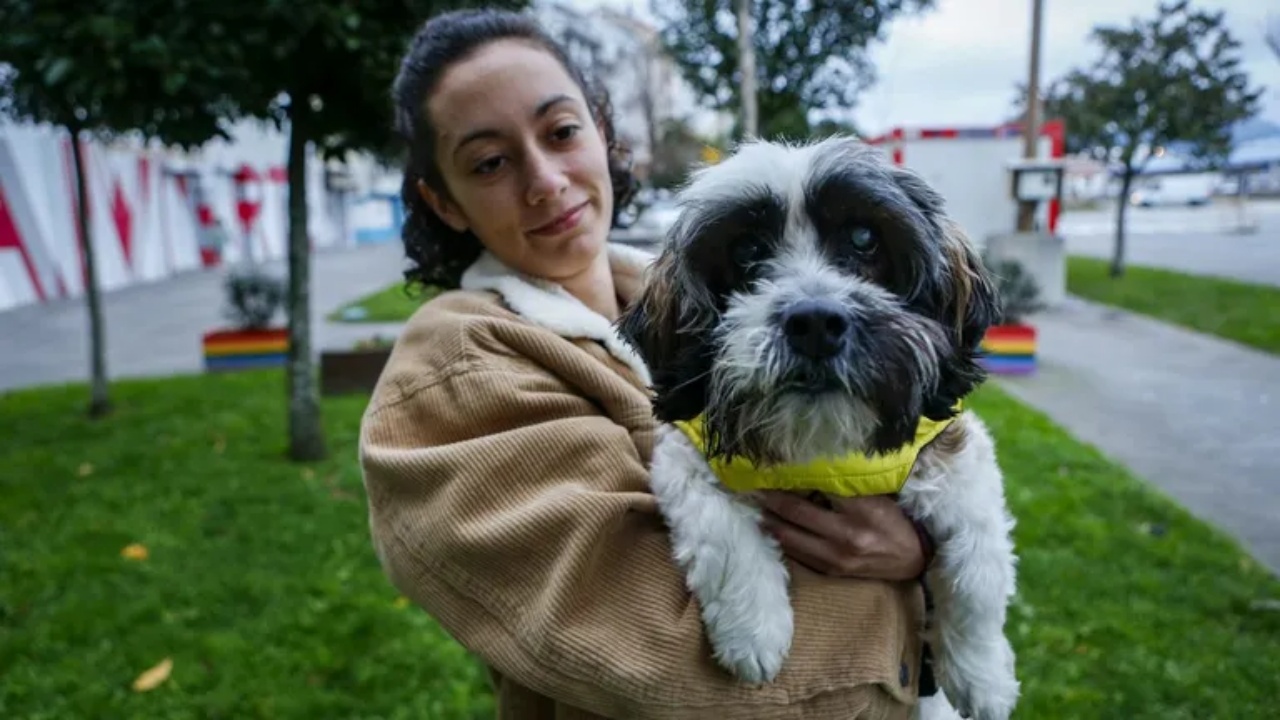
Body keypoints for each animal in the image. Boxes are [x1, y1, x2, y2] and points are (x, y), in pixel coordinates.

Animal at [616, 134, 1018, 717]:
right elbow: (721, 533)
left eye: (864, 238)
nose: (814, 322)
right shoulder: (682, 456)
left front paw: (982, 675)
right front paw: (753, 631)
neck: (822, 454)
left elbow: (977, 570)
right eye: (747, 251)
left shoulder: (958, 457)